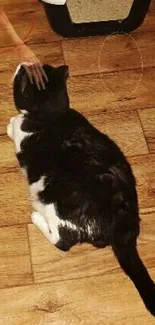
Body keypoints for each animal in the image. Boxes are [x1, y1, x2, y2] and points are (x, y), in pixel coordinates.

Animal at [7, 62, 155, 314]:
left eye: (22, 77)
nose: (23, 64)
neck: (53, 114)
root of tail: (123, 224)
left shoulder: (21, 135)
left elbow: (14, 126)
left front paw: (9, 124)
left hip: (59, 204)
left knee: (62, 241)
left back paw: (36, 217)